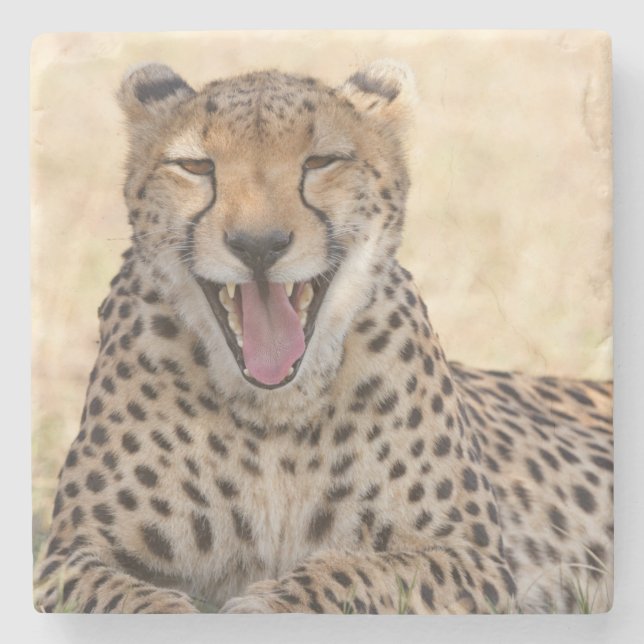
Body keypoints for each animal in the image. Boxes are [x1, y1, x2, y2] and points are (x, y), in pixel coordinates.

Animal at [33, 60, 613, 614]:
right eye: (196, 166)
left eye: (320, 162)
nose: (259, 245)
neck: (272, 411)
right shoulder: (70, 558)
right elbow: (131, 600)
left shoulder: (470, 558)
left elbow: (356, 572)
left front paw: (265, 607)